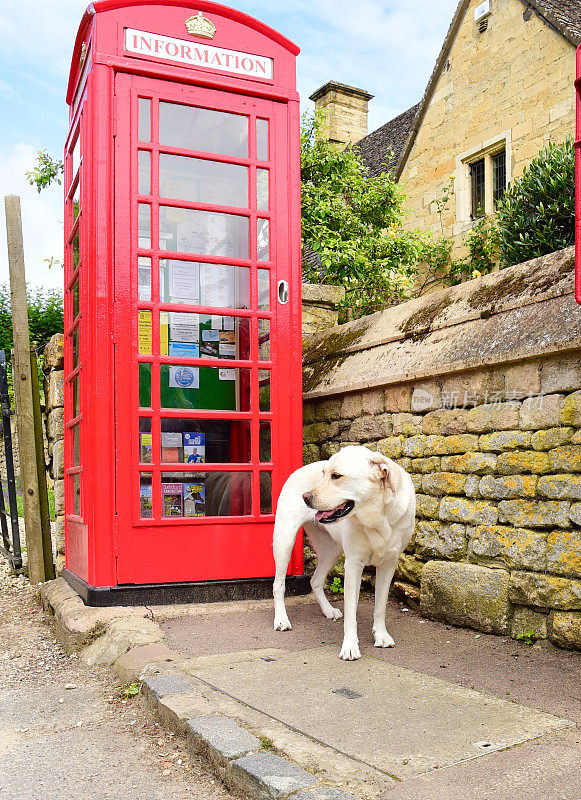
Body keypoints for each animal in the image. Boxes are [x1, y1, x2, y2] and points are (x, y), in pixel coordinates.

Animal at [270, 444, 412, 664]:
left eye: (336, 476)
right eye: (323, 475)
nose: (305, 497)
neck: (376, 518)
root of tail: (299, 469)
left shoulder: (388, 564)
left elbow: (380, 606)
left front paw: (381, 635)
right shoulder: (353, 565)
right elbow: (351, 613)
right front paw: (350, 647)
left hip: (332, 550)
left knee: (315, 581)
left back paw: (328, 610)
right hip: (284, 540)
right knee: (278, 584)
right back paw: (281, 620)